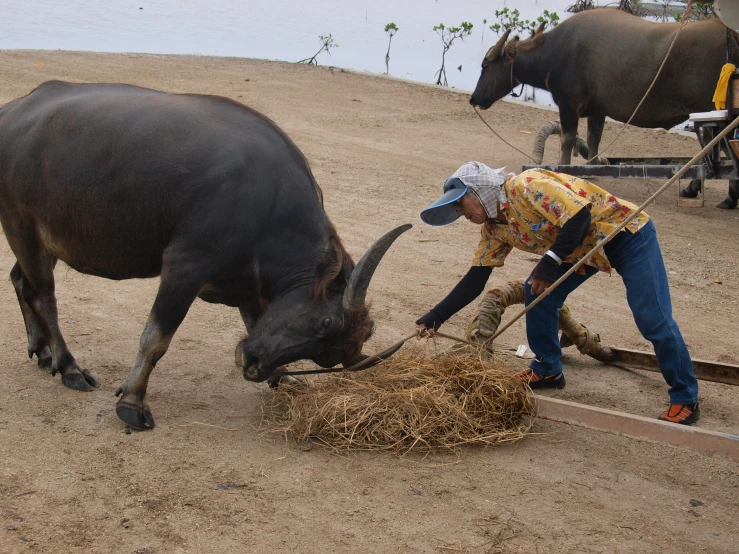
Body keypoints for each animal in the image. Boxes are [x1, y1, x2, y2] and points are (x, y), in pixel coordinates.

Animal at [0, 81, 410, 426]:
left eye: (327, 357)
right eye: (325, 323)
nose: (254, 366)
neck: (267, 204)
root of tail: (14, 112)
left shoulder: (249, 285)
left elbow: (255, 323)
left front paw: (284, 376)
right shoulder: (185, 268)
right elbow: (155, 338)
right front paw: (132, 402)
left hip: (45, 240)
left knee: (21, 280)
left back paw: (43, 353)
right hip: (22, 227)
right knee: (44, 296)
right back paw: (69, 367)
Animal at [474, 8, 739, 169]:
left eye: (485, 65)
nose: (474, 98)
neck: (555, 51)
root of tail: (730, 35)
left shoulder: (569, 106)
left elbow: (567, 140)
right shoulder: (597, 111)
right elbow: (594, 142)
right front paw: (593, 167)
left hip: (710, 114)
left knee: (711, 149)